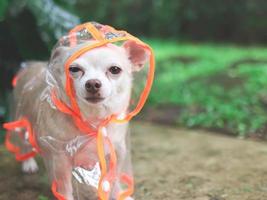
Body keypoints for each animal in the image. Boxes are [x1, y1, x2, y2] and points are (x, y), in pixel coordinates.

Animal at [12, 39, 150, 199]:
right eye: (74, 69)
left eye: (115, 69)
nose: (92, 83)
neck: (93, 121)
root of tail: (31, 65)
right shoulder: (60, 158)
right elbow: (65, 188)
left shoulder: (117, 152)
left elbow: (113, 179)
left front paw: (119, 194)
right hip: (23, 121)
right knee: (24, 143)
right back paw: (28, 163)